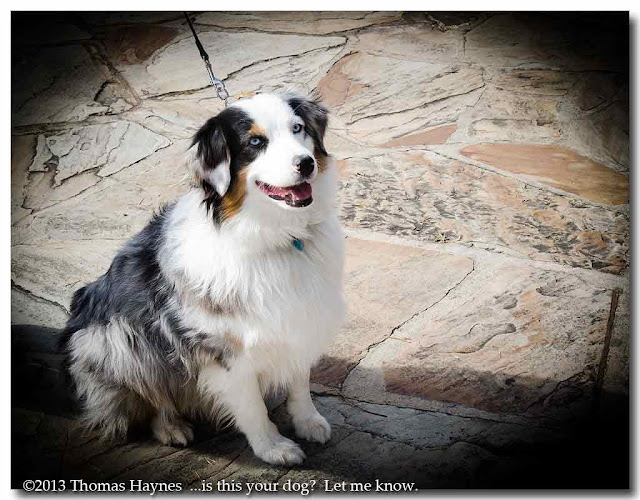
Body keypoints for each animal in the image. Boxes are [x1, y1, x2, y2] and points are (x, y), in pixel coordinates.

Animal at [61, 93, 344, 464]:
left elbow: (299, 380)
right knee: (150, 392)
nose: (306, 163)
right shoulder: (221, 345)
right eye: (255, 143)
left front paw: (308, 421)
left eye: (298, 129)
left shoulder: (300, 316)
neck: (277, 236)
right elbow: (251, 404)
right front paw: (272, 447)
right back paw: (170, 427)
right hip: (117, 338)